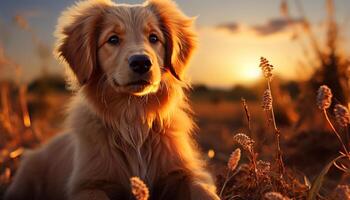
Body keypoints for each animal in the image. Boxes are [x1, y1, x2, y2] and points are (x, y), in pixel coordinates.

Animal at [4, 0, 219, 199]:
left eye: (154, 38)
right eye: (113, 39)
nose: (141, 62)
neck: (134, 120)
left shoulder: (188, 173)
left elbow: (202, 190)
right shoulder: (87, 185)